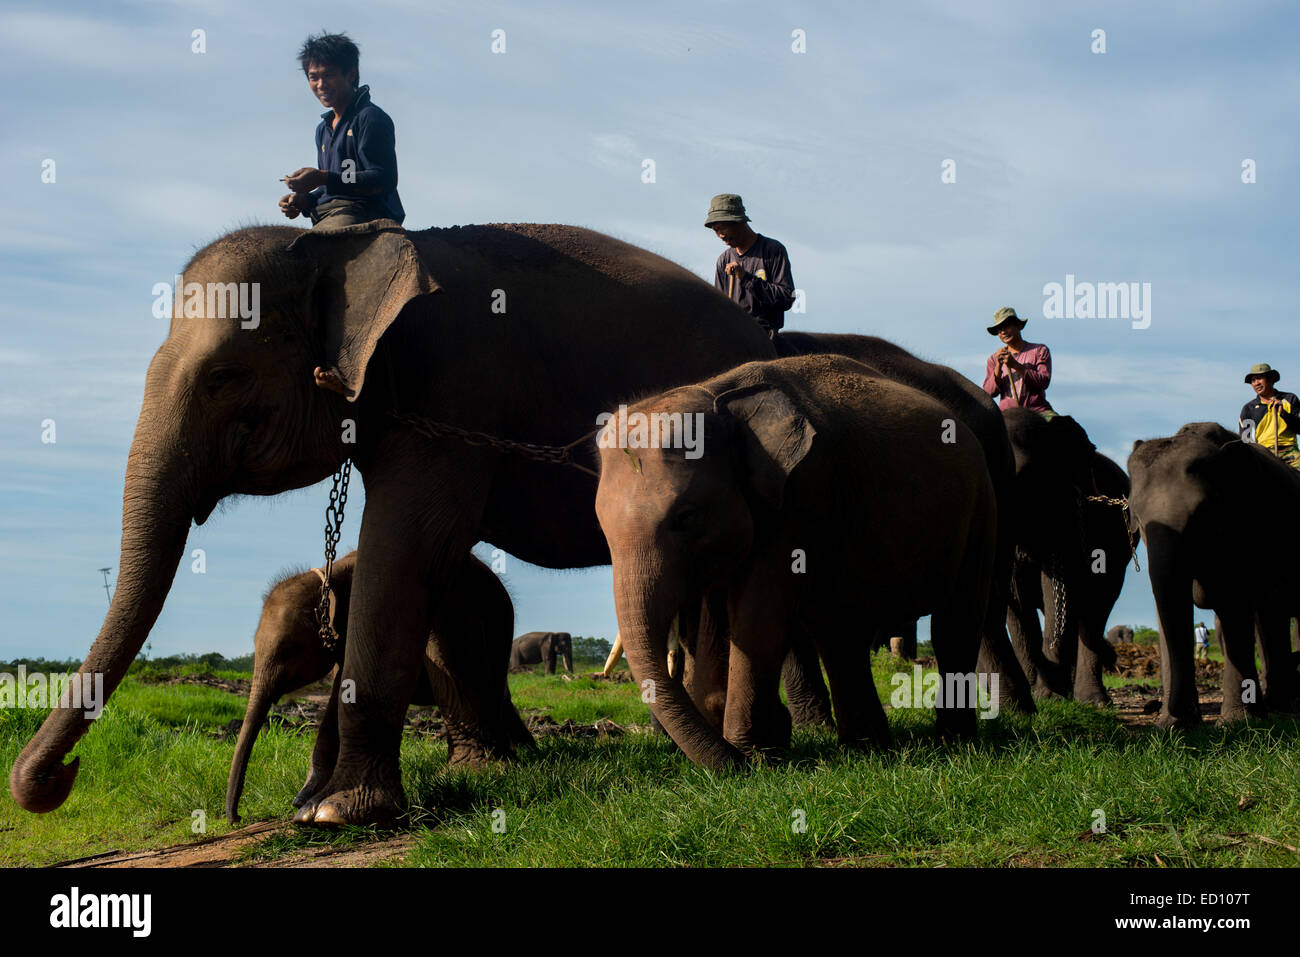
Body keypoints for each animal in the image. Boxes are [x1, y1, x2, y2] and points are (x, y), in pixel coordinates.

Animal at [226, 548, 530, 826]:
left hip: (500, 620)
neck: (329, 575)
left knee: (497, 691)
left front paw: (305, 804)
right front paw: (302, 801)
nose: (237, 818)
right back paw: (528, 752)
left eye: (290, 649)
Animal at [595, 356, 998, 764]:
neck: (720, 396)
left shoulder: (804, 492)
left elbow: (758, 612)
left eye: (687, 517)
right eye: (602, 529)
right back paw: (866, 748)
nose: (734, 766)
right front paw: (761, 744)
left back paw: (953, 743)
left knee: (956, 622)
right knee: (840, 630)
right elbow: (719, 615)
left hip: (981, 505)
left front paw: (754, 754)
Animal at [1128, 421, 1300, 722]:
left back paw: (1281, 708)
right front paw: (1172, 725)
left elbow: (1233, 603)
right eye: (1135, 515)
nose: (1165, 711)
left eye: (1202, 512)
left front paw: (1235, 722)